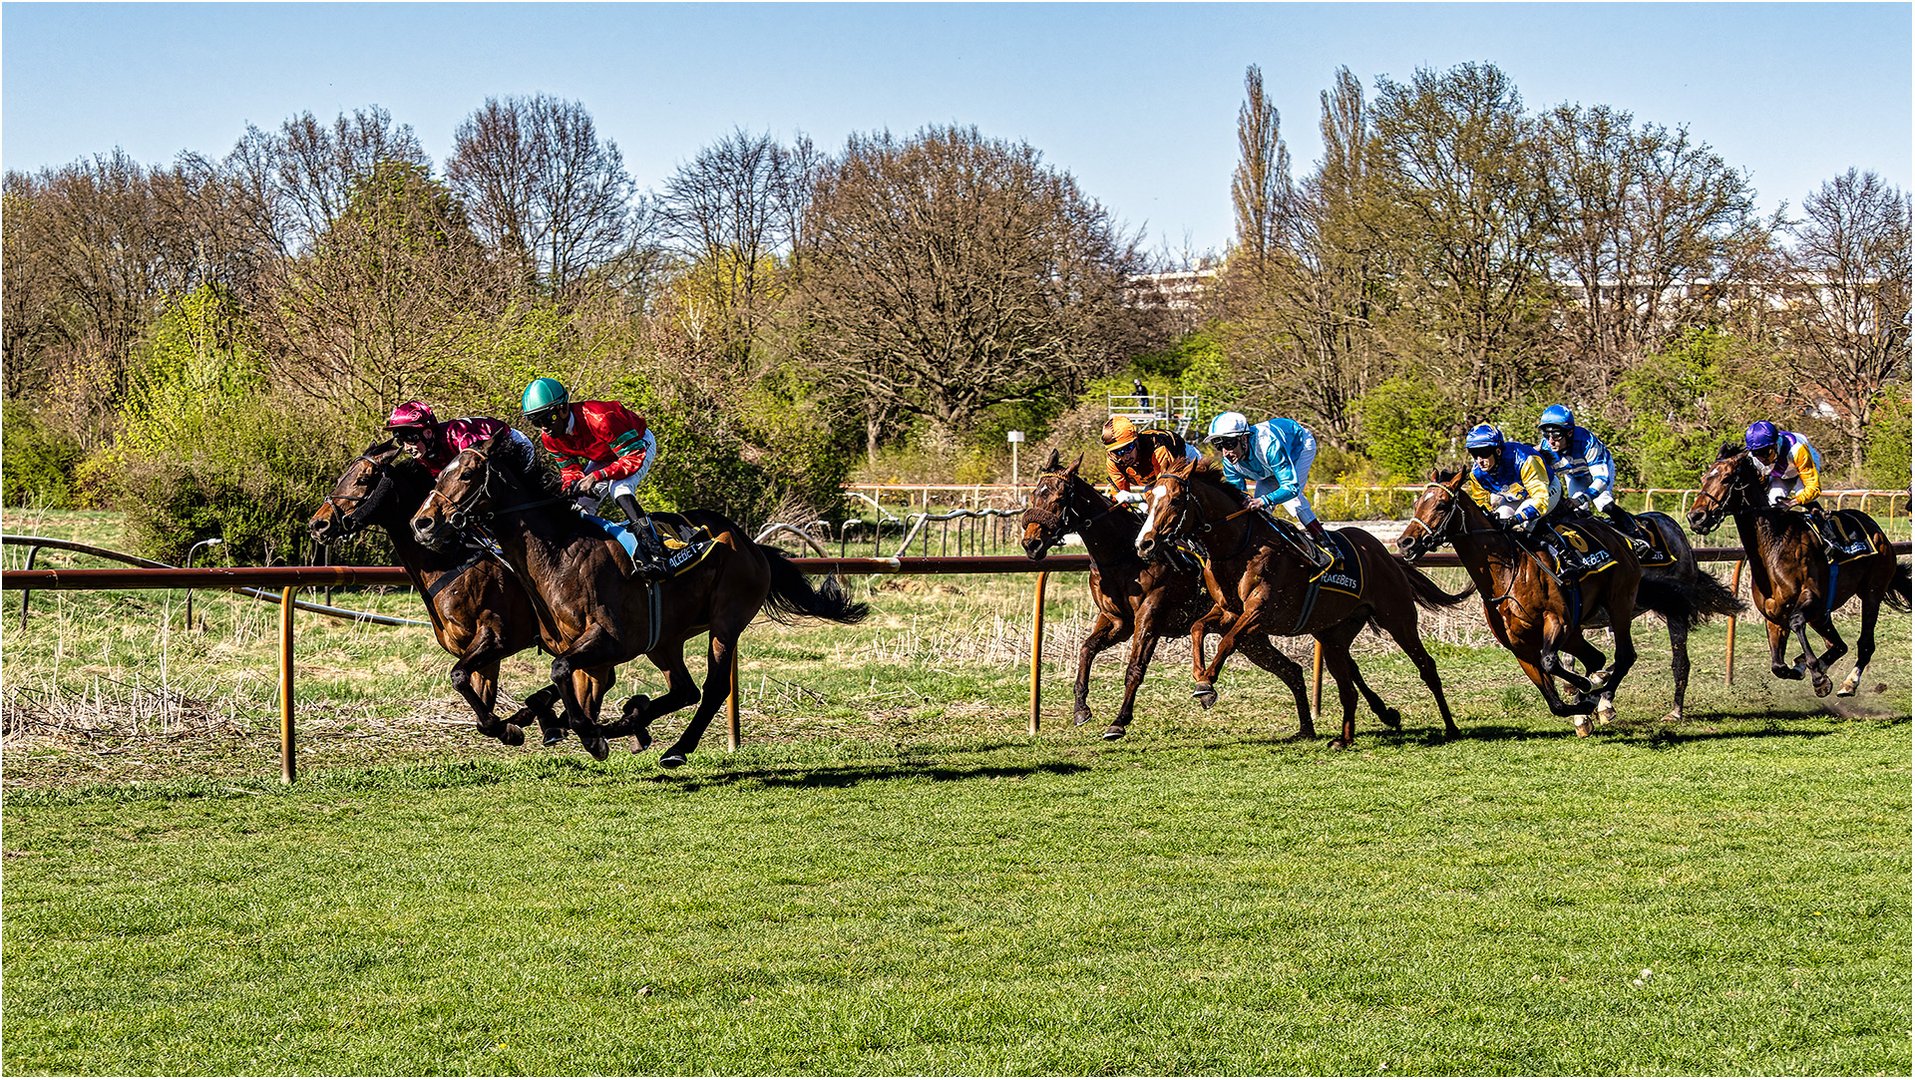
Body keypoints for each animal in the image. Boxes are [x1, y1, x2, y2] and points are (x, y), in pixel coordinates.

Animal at [308, 442, 559, 746]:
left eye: (363, 479)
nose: (318, 524)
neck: (451, 562)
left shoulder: (497, 636)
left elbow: (459, 676)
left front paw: (519, 722)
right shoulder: (483, 655)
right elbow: (482, 715)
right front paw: (513, 724)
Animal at [415, 430, 873, 765]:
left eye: (468, 475)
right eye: (436, 476)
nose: (423, 523)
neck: (560, 554)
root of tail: (751, 545)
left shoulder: (612, 641)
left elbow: (561, 674)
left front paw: (589, 735)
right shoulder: (583, 648)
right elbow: (551, 681)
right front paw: (580, 728)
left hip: (725, 623)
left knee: (711, 690)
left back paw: (675, 749)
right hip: (664, 640)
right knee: (685, 690)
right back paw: (631, 722)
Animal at [1018, 450, 1332, 742]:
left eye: (1059, 498)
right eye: (1033, 494)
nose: (1031, 543)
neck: (1122, 555)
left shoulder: (1149, 615)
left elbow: (1135, 668)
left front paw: (1119, 722)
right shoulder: (1116, 621)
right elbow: (1086, 650)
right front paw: (1081, 709)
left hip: (1251, 628)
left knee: (1288, 667)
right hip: (1251, 637)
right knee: (1291, 670)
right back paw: (1306, 729)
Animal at [1133, 457, 1478, 750]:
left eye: (1175, 500)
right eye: (1147, 499)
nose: (1144, 544)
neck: (1238, 547)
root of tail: (1386, 554)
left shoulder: (1259, 612)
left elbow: (1228, 641)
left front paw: (1207, 684)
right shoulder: (1228, 611)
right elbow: (1197, 628)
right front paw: (1201, 677)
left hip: (1398, 618)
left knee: (1426, 667)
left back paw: (1450, 728)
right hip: (1334, 634)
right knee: (1347, 684)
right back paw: (1346, 738)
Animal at [1685, 442, 1907, 697]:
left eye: (1727, 478)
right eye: (1704, 478)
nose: (1695, 516)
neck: (1774, 547)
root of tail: (1878, 532)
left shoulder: (1810, 598)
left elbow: (1796, 622)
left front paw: (1818, 677)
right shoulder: (1773, 616)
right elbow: (1778, 666)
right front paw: (1804, 668)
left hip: (1872, 592)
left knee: (1865, 644)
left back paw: (1849, 683)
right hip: (1822, 615)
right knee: (1839, 645)